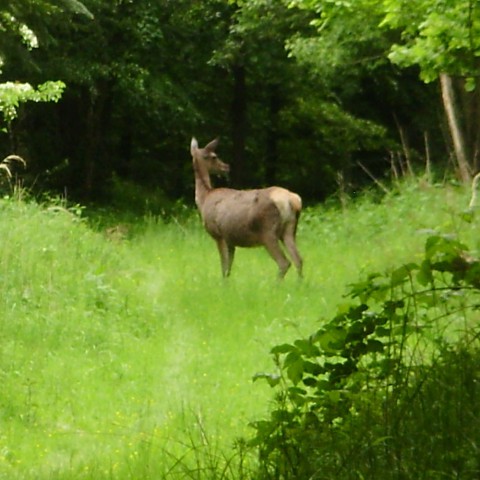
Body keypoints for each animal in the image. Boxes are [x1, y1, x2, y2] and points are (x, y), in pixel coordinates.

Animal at [189, 136, 302, 278]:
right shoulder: (230, 239)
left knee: (284, 262)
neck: (204, 198)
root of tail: (293, 200)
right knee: (298, 259)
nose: (226, 167)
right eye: (214, 156)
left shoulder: (218, 233)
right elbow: (228, 268)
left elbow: (224, 267)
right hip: (289, 229)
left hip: (267, 231)